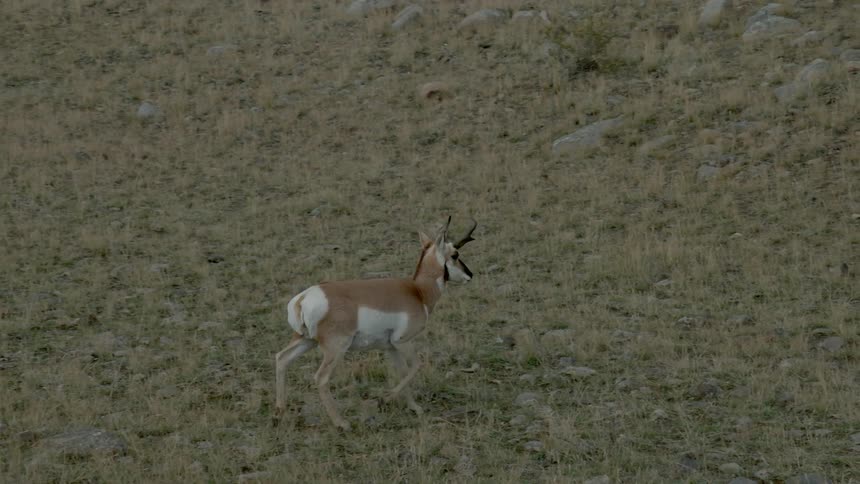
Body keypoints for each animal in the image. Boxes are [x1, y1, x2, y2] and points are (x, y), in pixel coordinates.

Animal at [274, 217, 478, 431]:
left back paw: (279, 414)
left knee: (281, 358)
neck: (417, 291)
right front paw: (385, 399)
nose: (470, 274)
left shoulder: (390, 347)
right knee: (321, 378)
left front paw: (414, 407)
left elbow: (403, 372)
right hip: (335, 348)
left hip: (306, 340)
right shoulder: (403, 341)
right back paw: (342, 423)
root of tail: (303, 298)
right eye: (455, 254)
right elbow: (416, 366)